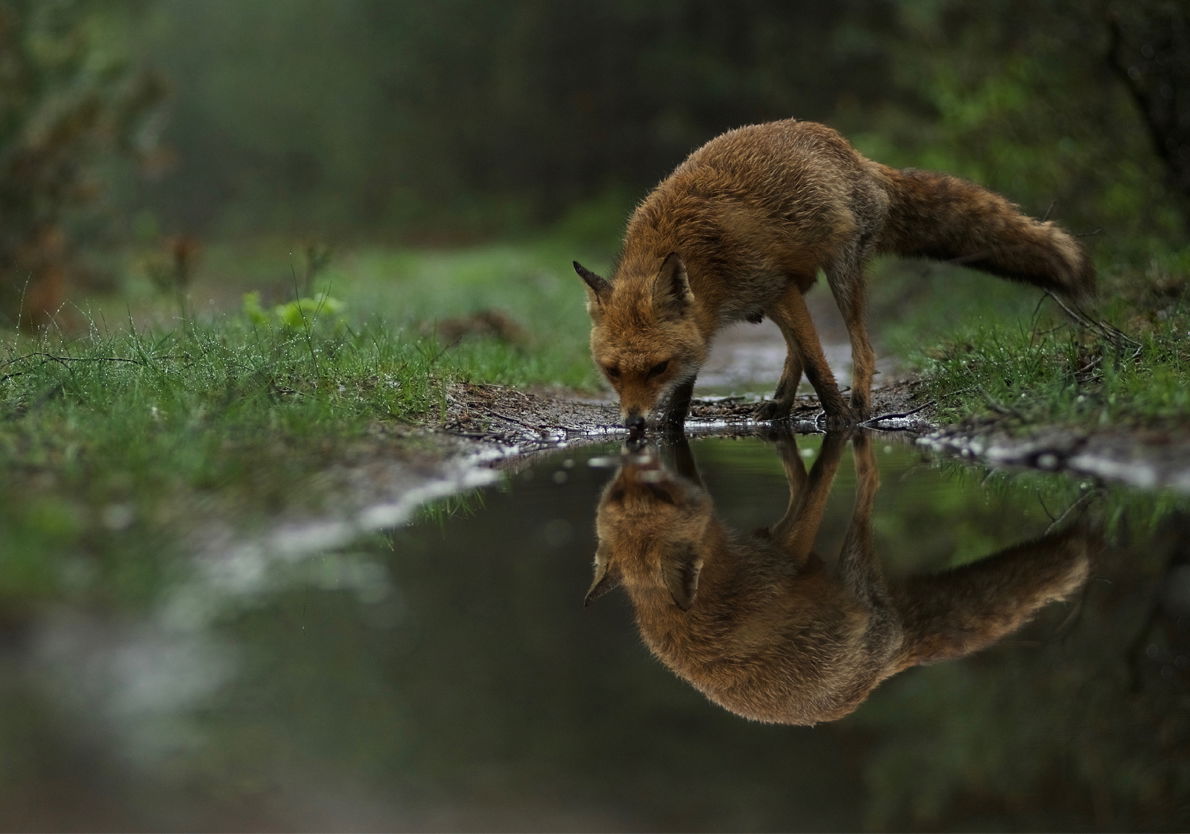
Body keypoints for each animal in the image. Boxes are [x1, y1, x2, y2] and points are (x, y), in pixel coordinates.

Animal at [571, 120, 1090, 433]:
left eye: (655, 368)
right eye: (612, 371)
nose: (632, 424)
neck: (702, 258)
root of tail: (856, 155)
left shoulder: (774, 289)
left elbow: (822, 369)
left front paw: (840, 422)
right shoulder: (716, 320)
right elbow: (686, 391)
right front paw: (669, 431)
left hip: (840, 277)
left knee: (861, 349)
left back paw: (857, 406)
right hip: (796, 289)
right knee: (795, 351)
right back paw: (779, 406)